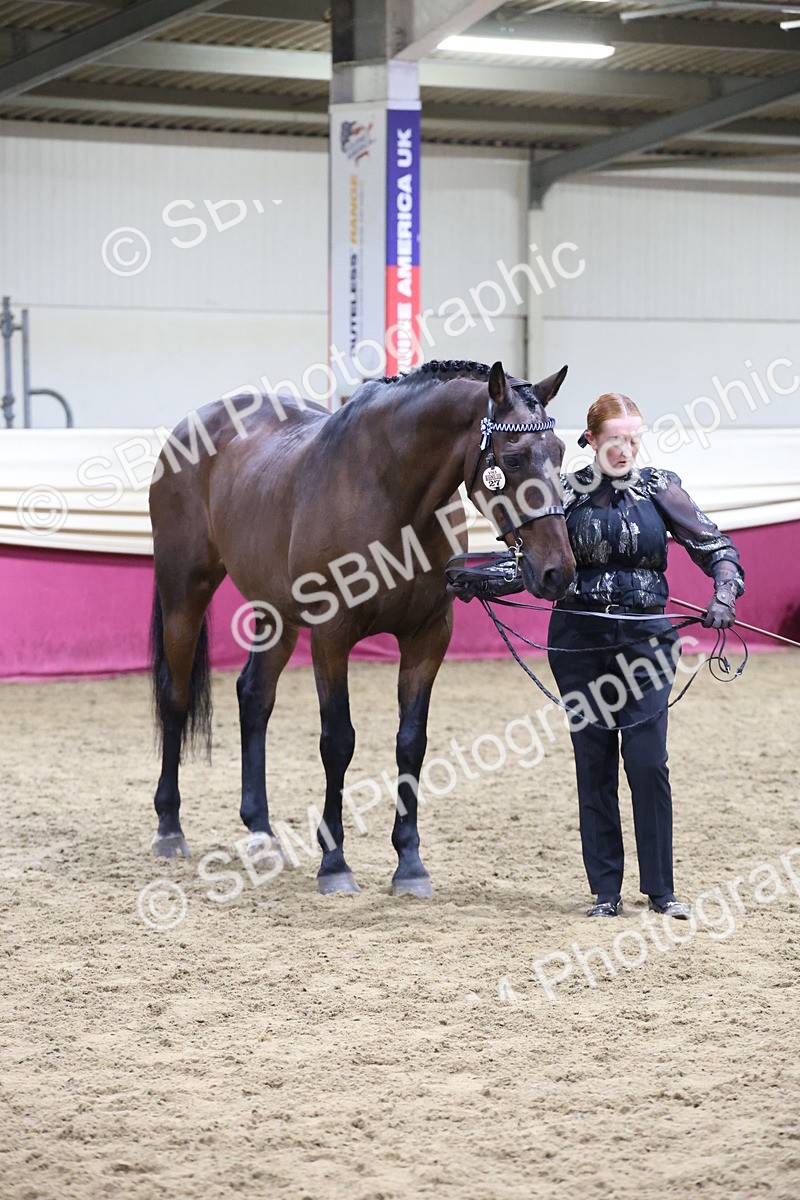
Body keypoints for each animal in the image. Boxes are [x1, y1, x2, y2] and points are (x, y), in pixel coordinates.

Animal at [148, 359, 575, 896]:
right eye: (514, 459)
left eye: (560, 452)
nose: (558, 571)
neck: (390, 495)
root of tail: (192, 426)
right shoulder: (331, 636)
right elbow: (338, 741)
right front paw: (334, 864)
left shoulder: (428, 636)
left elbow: (411, 743)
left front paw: (410, 865)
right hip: (184, 592)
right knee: (176, 696)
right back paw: (169, 829)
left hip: (275, 612)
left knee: (254, 696)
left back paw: (262, 833)